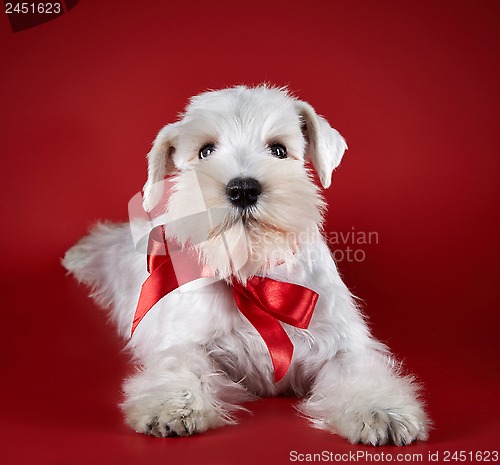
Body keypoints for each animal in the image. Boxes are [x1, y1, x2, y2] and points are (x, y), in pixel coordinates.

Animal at [62, 85, 430, 444]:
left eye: (279, 150)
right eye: (205, 151)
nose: (242, 189)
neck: (253, 277)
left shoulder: (342, 343)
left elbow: (358, 371)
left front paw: (380, 410)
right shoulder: (187, 340)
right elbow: (184, 363)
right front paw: (172, 405)